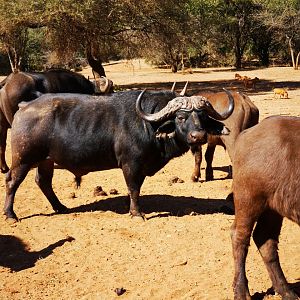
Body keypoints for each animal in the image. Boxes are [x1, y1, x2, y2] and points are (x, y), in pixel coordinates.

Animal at [4, 88, 234, 220]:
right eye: (180, 117)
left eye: (202, 117)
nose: (199, 136)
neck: (149, 125)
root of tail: (24, 107)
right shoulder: (131, 165)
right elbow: (134, 188)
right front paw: (136, 213)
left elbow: (135, 189)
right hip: (23, 160)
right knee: (12, 182)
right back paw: (10, 214)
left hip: (46, 161)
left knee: (43, 181)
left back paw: (60, 207)